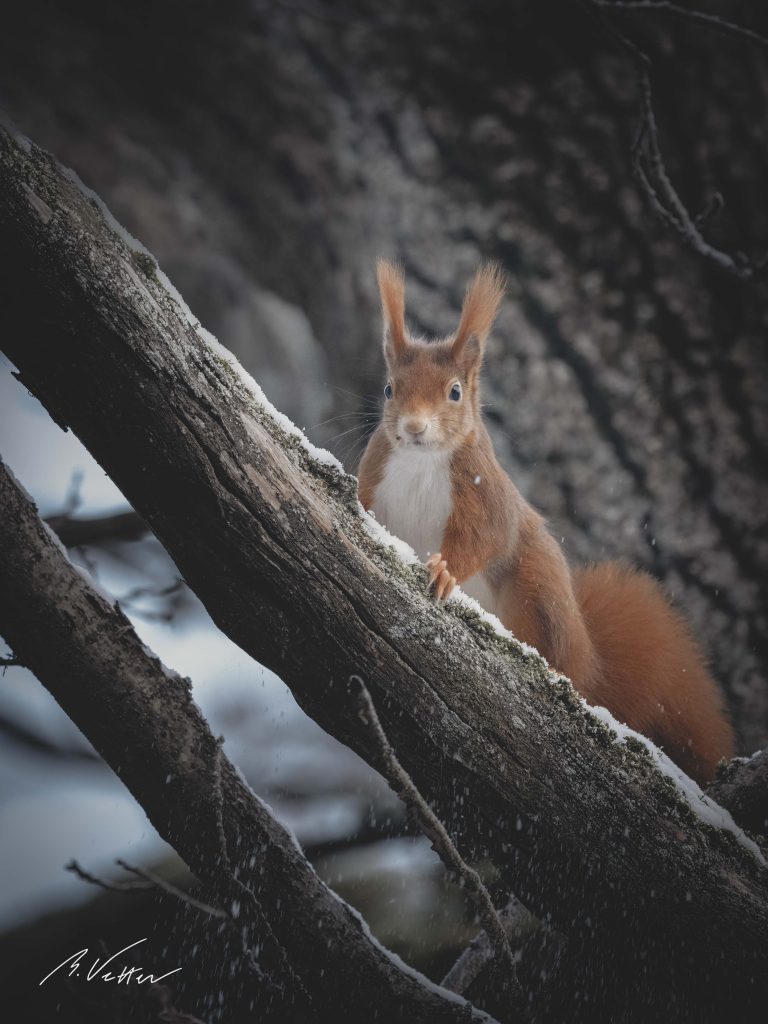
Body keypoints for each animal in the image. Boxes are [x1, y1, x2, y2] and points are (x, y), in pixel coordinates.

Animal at [358, 262, 737, 782]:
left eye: (455, 392)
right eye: (389, 388)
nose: (414, 428)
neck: (420, 460)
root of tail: (587, 660)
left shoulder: (485, 497)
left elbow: (483, 538)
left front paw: (444, 571)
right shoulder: (375, 474)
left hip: (534, 591)